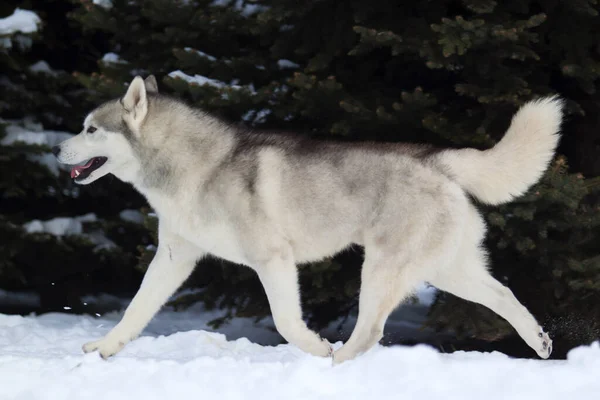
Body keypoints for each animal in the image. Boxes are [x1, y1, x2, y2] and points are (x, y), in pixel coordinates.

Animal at [52, 76, 564, 366]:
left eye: (90, 129)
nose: (56, 149)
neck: (196, 167)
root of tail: (436, 158)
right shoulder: (175, 256)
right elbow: (136, 309)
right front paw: (106, 348)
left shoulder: (273, 260)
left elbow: (285, 322)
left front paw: (316, 348)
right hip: (447, 269)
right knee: (506, 296)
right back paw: (538, 341)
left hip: (383, 269)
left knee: (370, 331)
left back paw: (335, 368)